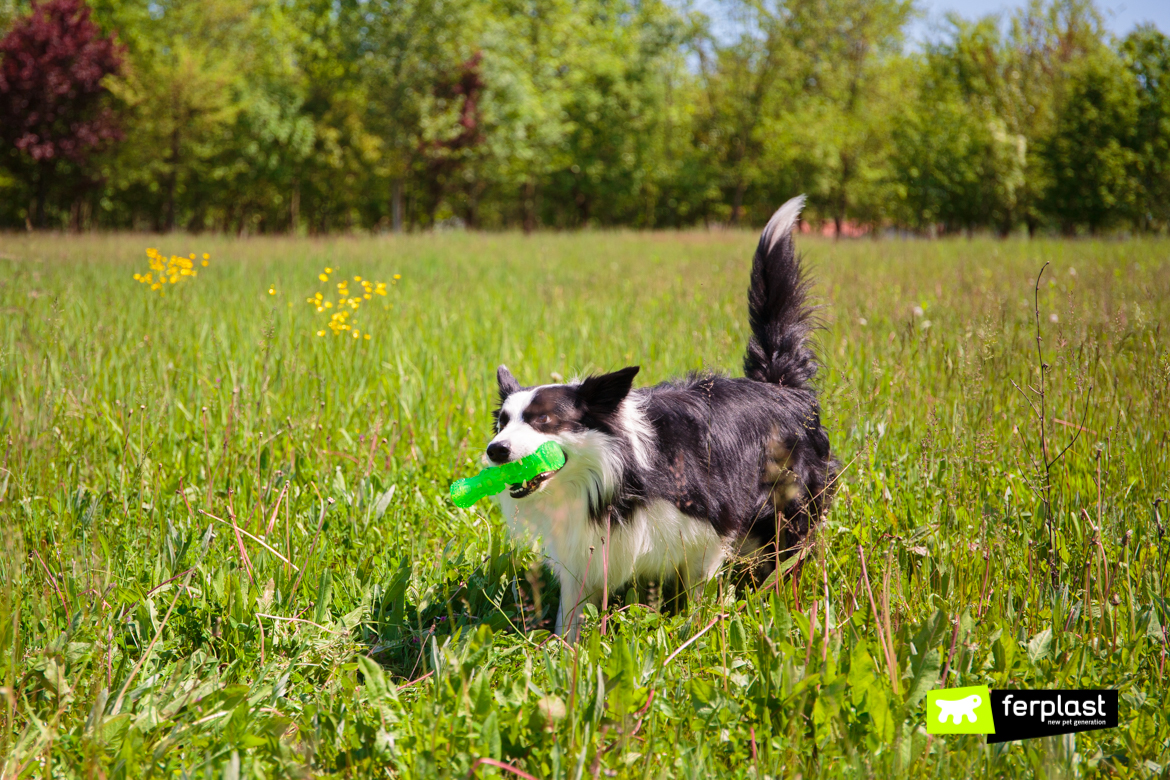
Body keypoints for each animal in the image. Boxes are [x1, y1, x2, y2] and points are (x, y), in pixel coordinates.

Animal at [484, 191, 833, 636]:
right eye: (502, 422)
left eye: (543, 420)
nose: (495, 451)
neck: (616, 474)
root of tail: (781, 386)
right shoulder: (583, 552)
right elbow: (572, 612)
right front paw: (563, 648)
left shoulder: (709, 528)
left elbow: (698, 592)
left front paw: (695, 630)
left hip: (790, 510)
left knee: (788, 558)